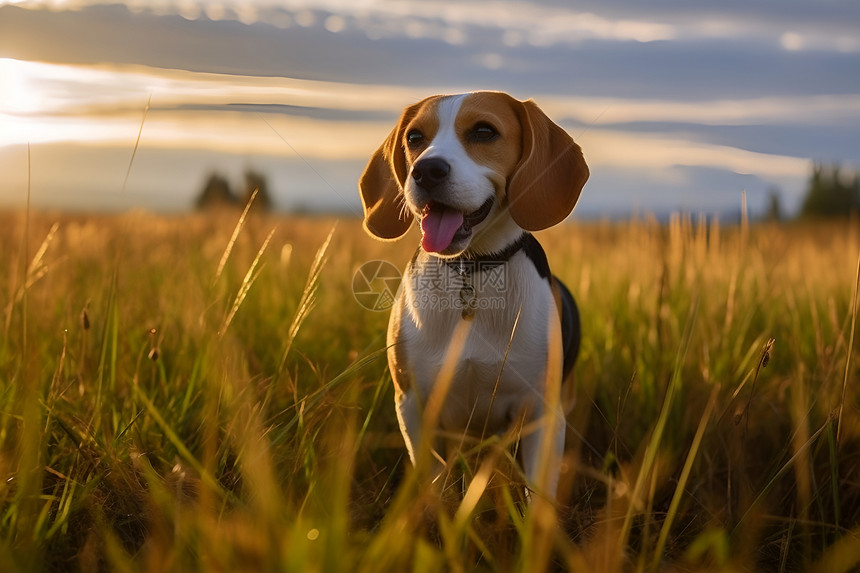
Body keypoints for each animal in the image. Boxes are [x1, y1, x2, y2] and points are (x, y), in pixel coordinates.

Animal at [360, 90, 588, 496]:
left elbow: (539, 496)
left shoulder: (541, 413)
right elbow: (430, 481)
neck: (471, 270)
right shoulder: (411, 404)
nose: (426, 171)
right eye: (415, 138)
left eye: (484, 132)